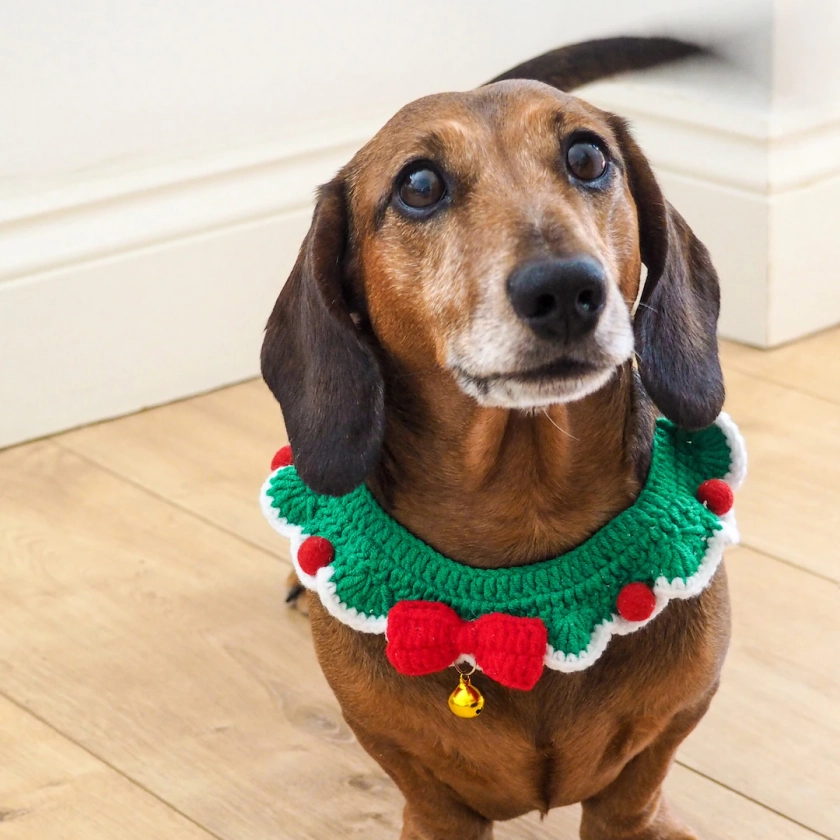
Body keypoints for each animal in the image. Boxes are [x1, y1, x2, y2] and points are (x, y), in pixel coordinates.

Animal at [260, 37, 728, 840]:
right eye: (419, 184)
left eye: (587, 156)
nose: (566, 290)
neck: (525, 518)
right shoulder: (425, 791)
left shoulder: (661, 743)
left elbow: (634, 797)